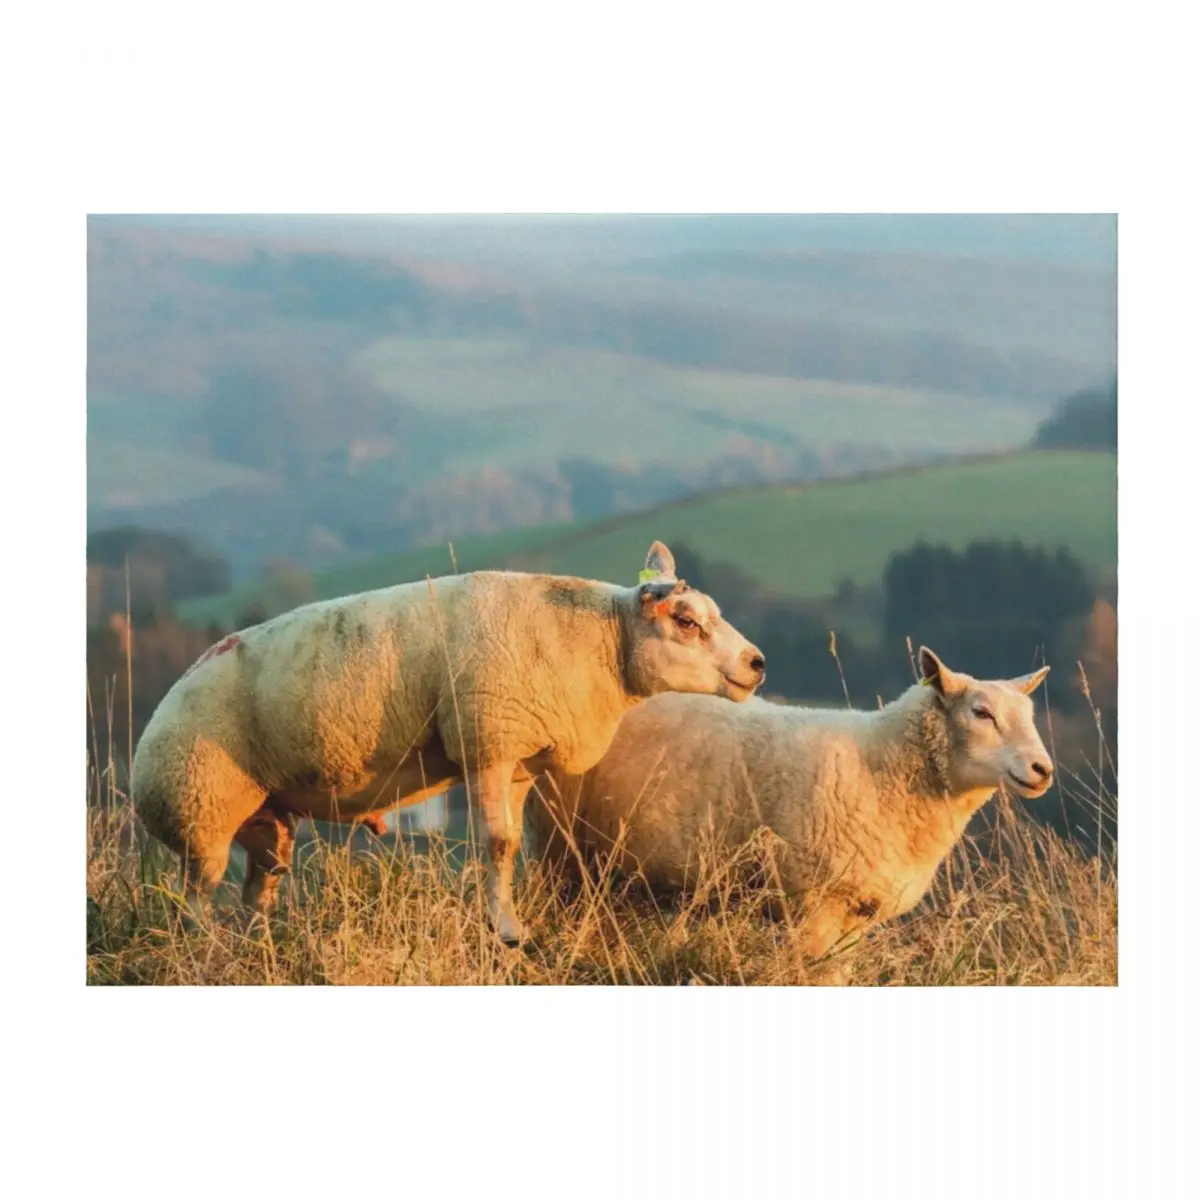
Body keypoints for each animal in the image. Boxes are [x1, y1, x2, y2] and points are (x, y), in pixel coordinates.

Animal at [131, 541, 766, 945]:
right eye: (685, 620)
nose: (757, 663)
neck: (602, 642)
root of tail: (158, 716)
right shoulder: (487, 740)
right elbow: (496, 844)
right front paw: (505, 932)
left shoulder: (517, 757)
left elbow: (510, 848)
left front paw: (508, 923)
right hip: (200, 810)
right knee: (195, 901)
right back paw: (206, 952)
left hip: (263, 819)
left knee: (258, 886)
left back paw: (257, 946)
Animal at [527, 647, 1053, 978]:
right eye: (981, 712)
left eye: (1029, 716)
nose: (1042, 769)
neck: (882, 765)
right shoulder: (814, 901)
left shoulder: (855, 911)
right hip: (560, 850)